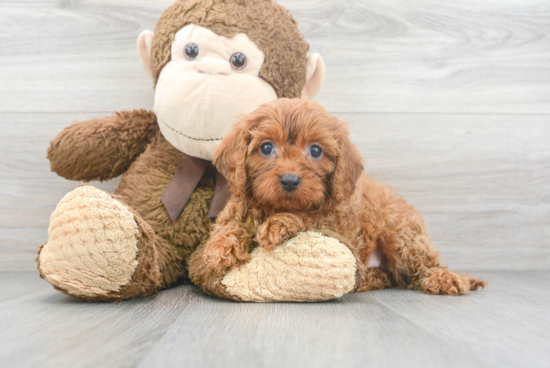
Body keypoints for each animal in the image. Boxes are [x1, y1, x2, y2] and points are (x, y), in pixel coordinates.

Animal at [204, 98, 488, 296]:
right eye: (266, 147)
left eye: (315, 151)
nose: (290, 180)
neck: (275, 205)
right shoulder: (238, 206)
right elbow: (229, 225)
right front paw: (219, 249)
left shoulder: (337, 225)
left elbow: (309, 218)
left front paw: (279, 224)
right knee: (392, 276)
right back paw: (372, 279)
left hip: (401, 235)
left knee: (422, 266)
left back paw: (445, 279)